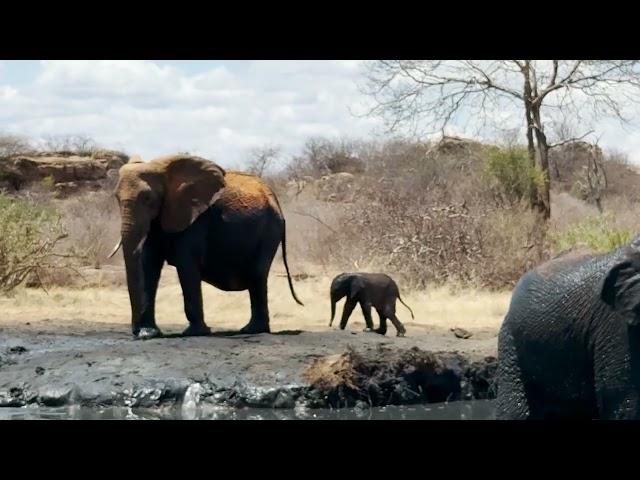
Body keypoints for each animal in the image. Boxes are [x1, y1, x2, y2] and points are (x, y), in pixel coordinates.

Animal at [107, 153, 302, 338]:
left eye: (147, 198)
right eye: (116, 198)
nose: (135, 331)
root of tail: (276, 201)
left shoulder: (195, 219)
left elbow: (186, 265)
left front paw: (195, 332)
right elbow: (149, 265)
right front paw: (149, 333)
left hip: (270, 229)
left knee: (258, 274)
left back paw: (252, 330)